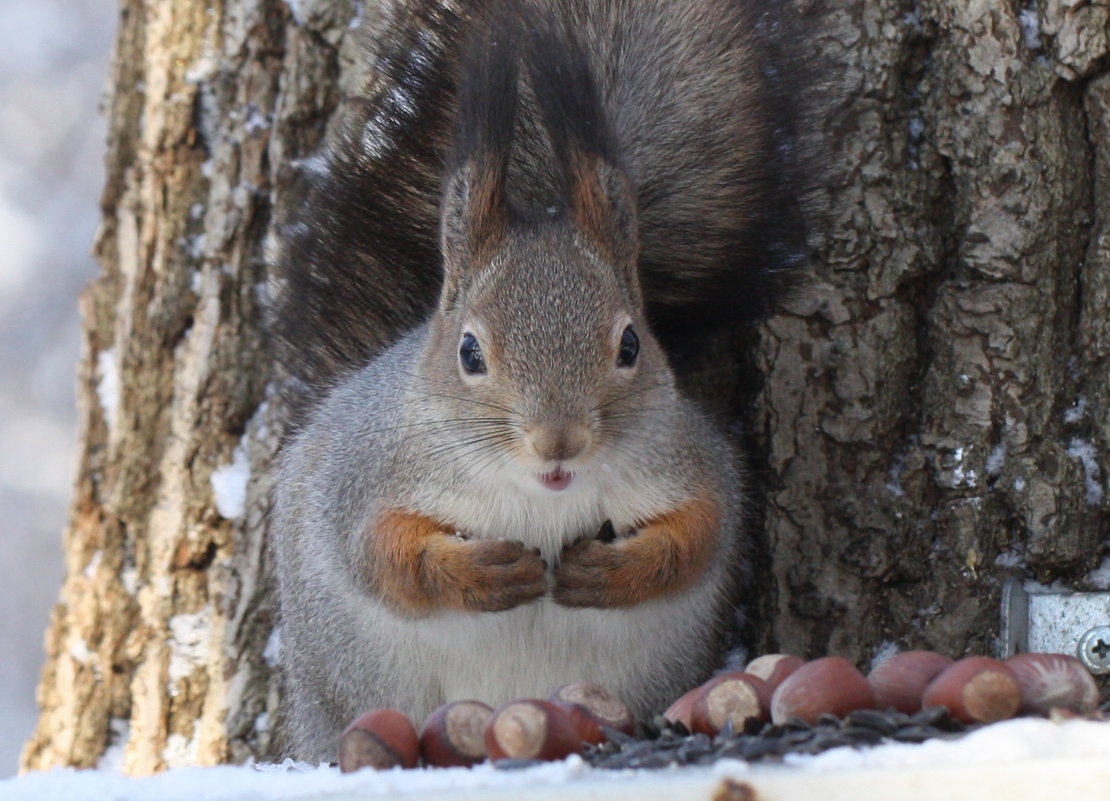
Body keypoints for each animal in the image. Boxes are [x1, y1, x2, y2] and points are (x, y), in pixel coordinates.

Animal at [268, 0, 808, 763]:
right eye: (469, 352)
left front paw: (610, 572)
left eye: (632, 343)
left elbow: (699, 534)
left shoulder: (690, 459)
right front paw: (480, 573)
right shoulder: (365, 474)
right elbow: (382, 554)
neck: (540, 500)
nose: (559, 442)